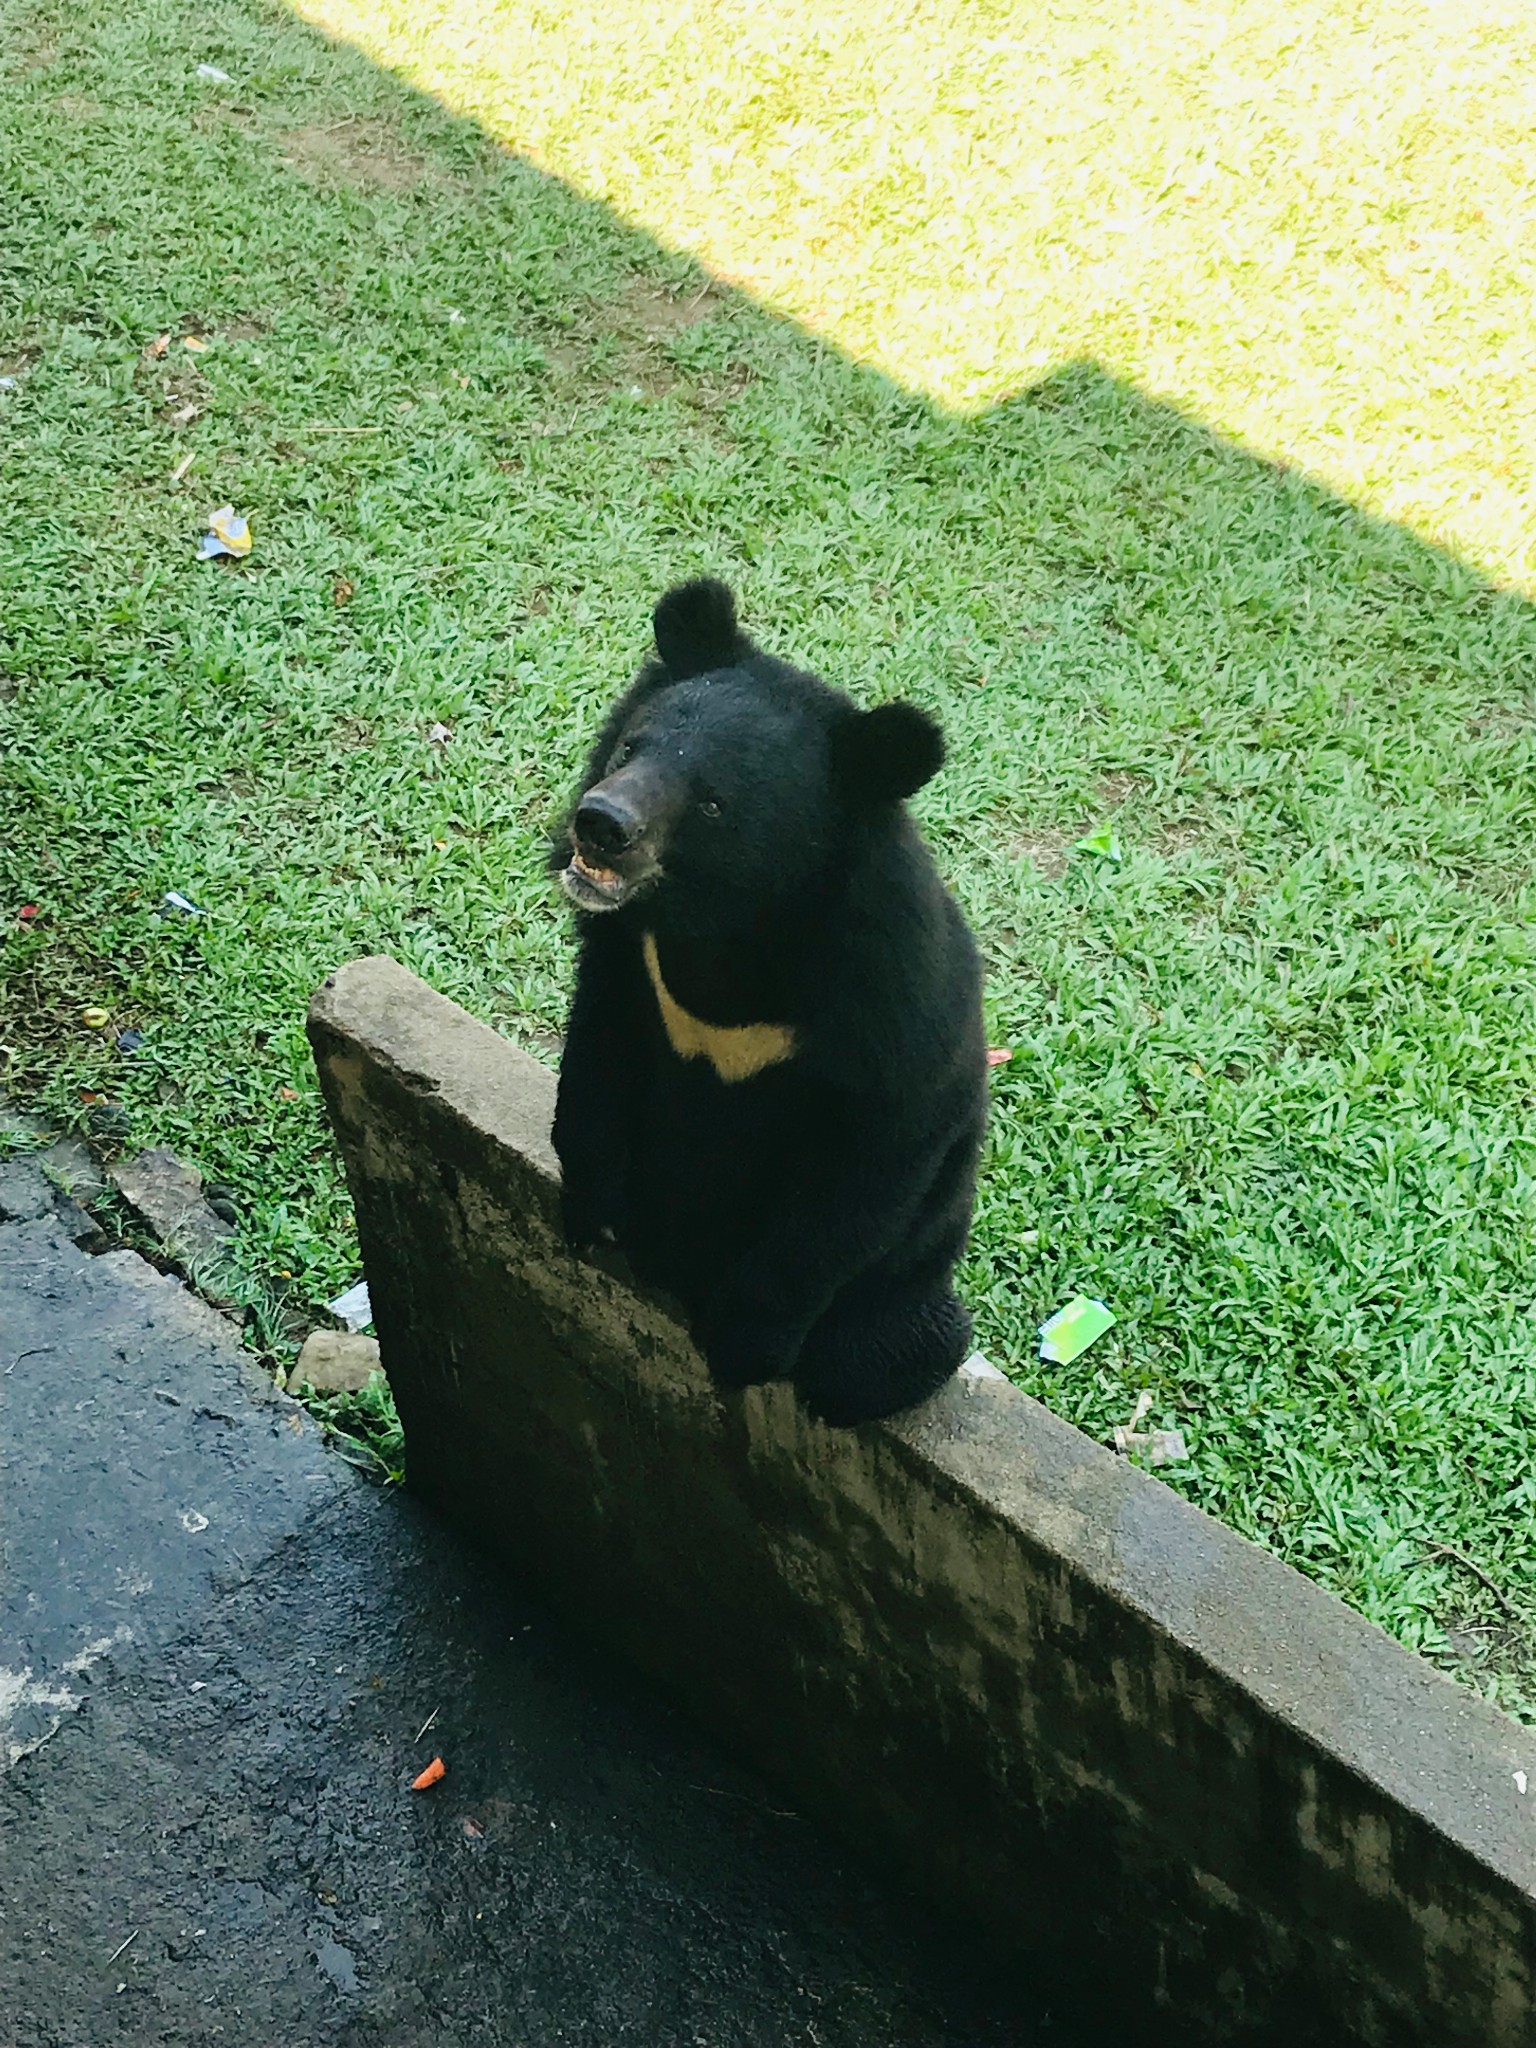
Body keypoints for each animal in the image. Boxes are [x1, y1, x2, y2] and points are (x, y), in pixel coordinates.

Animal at [548, 577, 987, 1425]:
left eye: (714, 804)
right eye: (632, 747)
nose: (600, 824)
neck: (724, 927)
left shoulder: (891, 1005)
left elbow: (866, 1172)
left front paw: (742, 1346)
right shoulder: (628, 958)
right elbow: (596, 1057)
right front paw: (591, 1215)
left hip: (900, 1295)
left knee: (891, 1354)